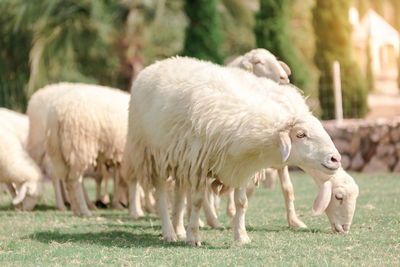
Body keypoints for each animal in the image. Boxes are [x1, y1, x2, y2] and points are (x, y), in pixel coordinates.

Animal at [42, 82, 130, 217]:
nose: (125, 203)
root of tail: (55, 113)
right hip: (78, 147)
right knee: (74, 181)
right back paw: (84, 210)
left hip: (62, 152)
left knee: (67, 181)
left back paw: (77, 210)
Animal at [123, 57, 342, 247]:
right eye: (301, 134)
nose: (336, 158)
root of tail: (157, 63)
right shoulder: (199, 163)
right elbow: (197, 202)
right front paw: (193, 236)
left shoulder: (240, 168)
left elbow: (241, 202)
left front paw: (241, 236)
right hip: (152, 154)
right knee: (161, 192)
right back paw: (169, 231)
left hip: (179, 157)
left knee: (179, 192)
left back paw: (178, 229)